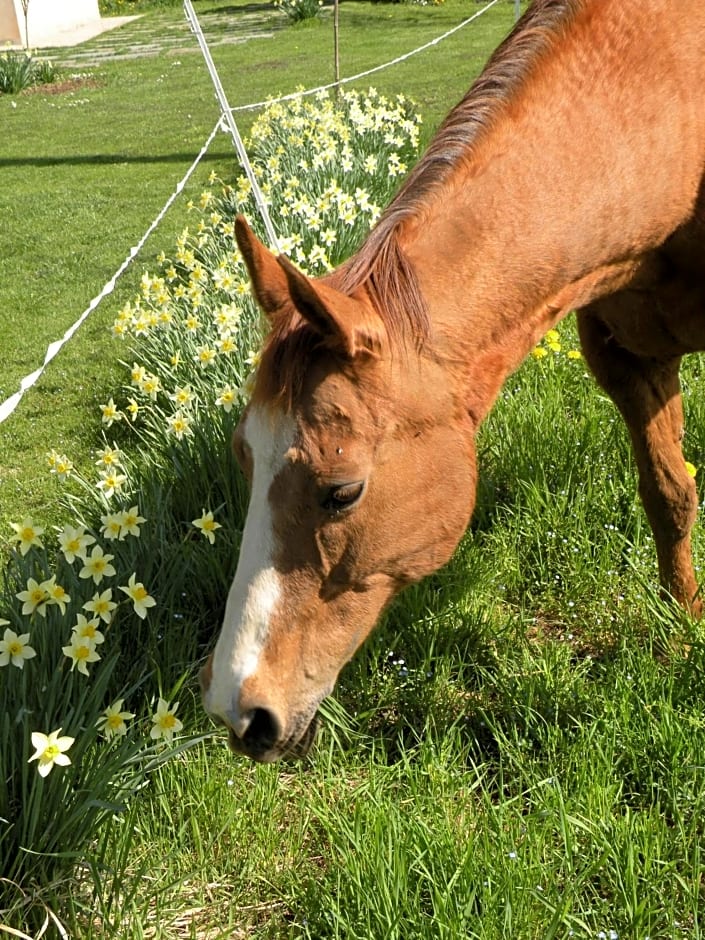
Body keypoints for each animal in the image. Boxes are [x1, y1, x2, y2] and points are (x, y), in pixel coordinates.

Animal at [198, 0, 704, 764]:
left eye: (341, 491)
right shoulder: (625, 355)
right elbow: (669, 497)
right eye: (243, 459)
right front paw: (684, 625)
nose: (239, 710)